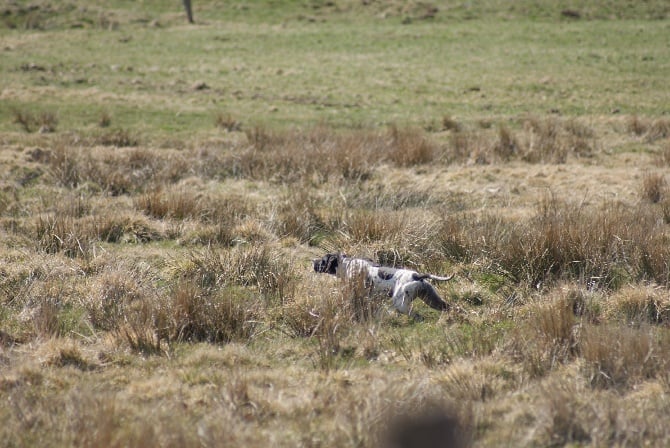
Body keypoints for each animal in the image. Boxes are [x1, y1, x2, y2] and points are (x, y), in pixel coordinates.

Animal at [316, 252, 456, 318]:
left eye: (323, 260)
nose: (313, 261)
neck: (347, 265)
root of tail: (417, 275)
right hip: (432, 300)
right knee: (451, 308)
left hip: (401, 304)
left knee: (417, 316)